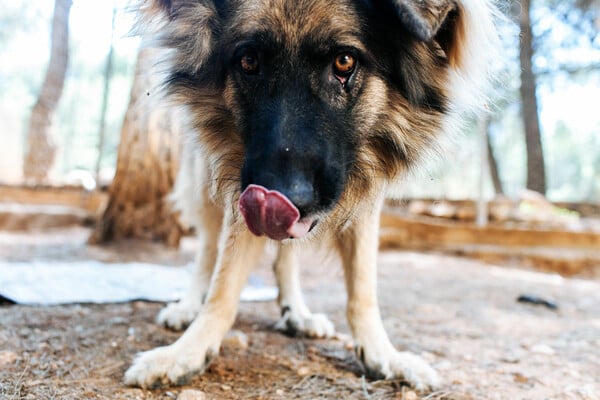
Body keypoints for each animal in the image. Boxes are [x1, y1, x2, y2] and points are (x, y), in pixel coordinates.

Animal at [125, 0, 496, 390]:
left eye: (344, 62)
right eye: (248, 61)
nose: (279, 201)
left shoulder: (363, 197)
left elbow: (362, 287)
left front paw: (381, 354)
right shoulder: (239, 184)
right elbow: (222, 286)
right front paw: (186, 352)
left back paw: (297, 313)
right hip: (205, 182)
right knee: (208, 251)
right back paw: (187, 306)